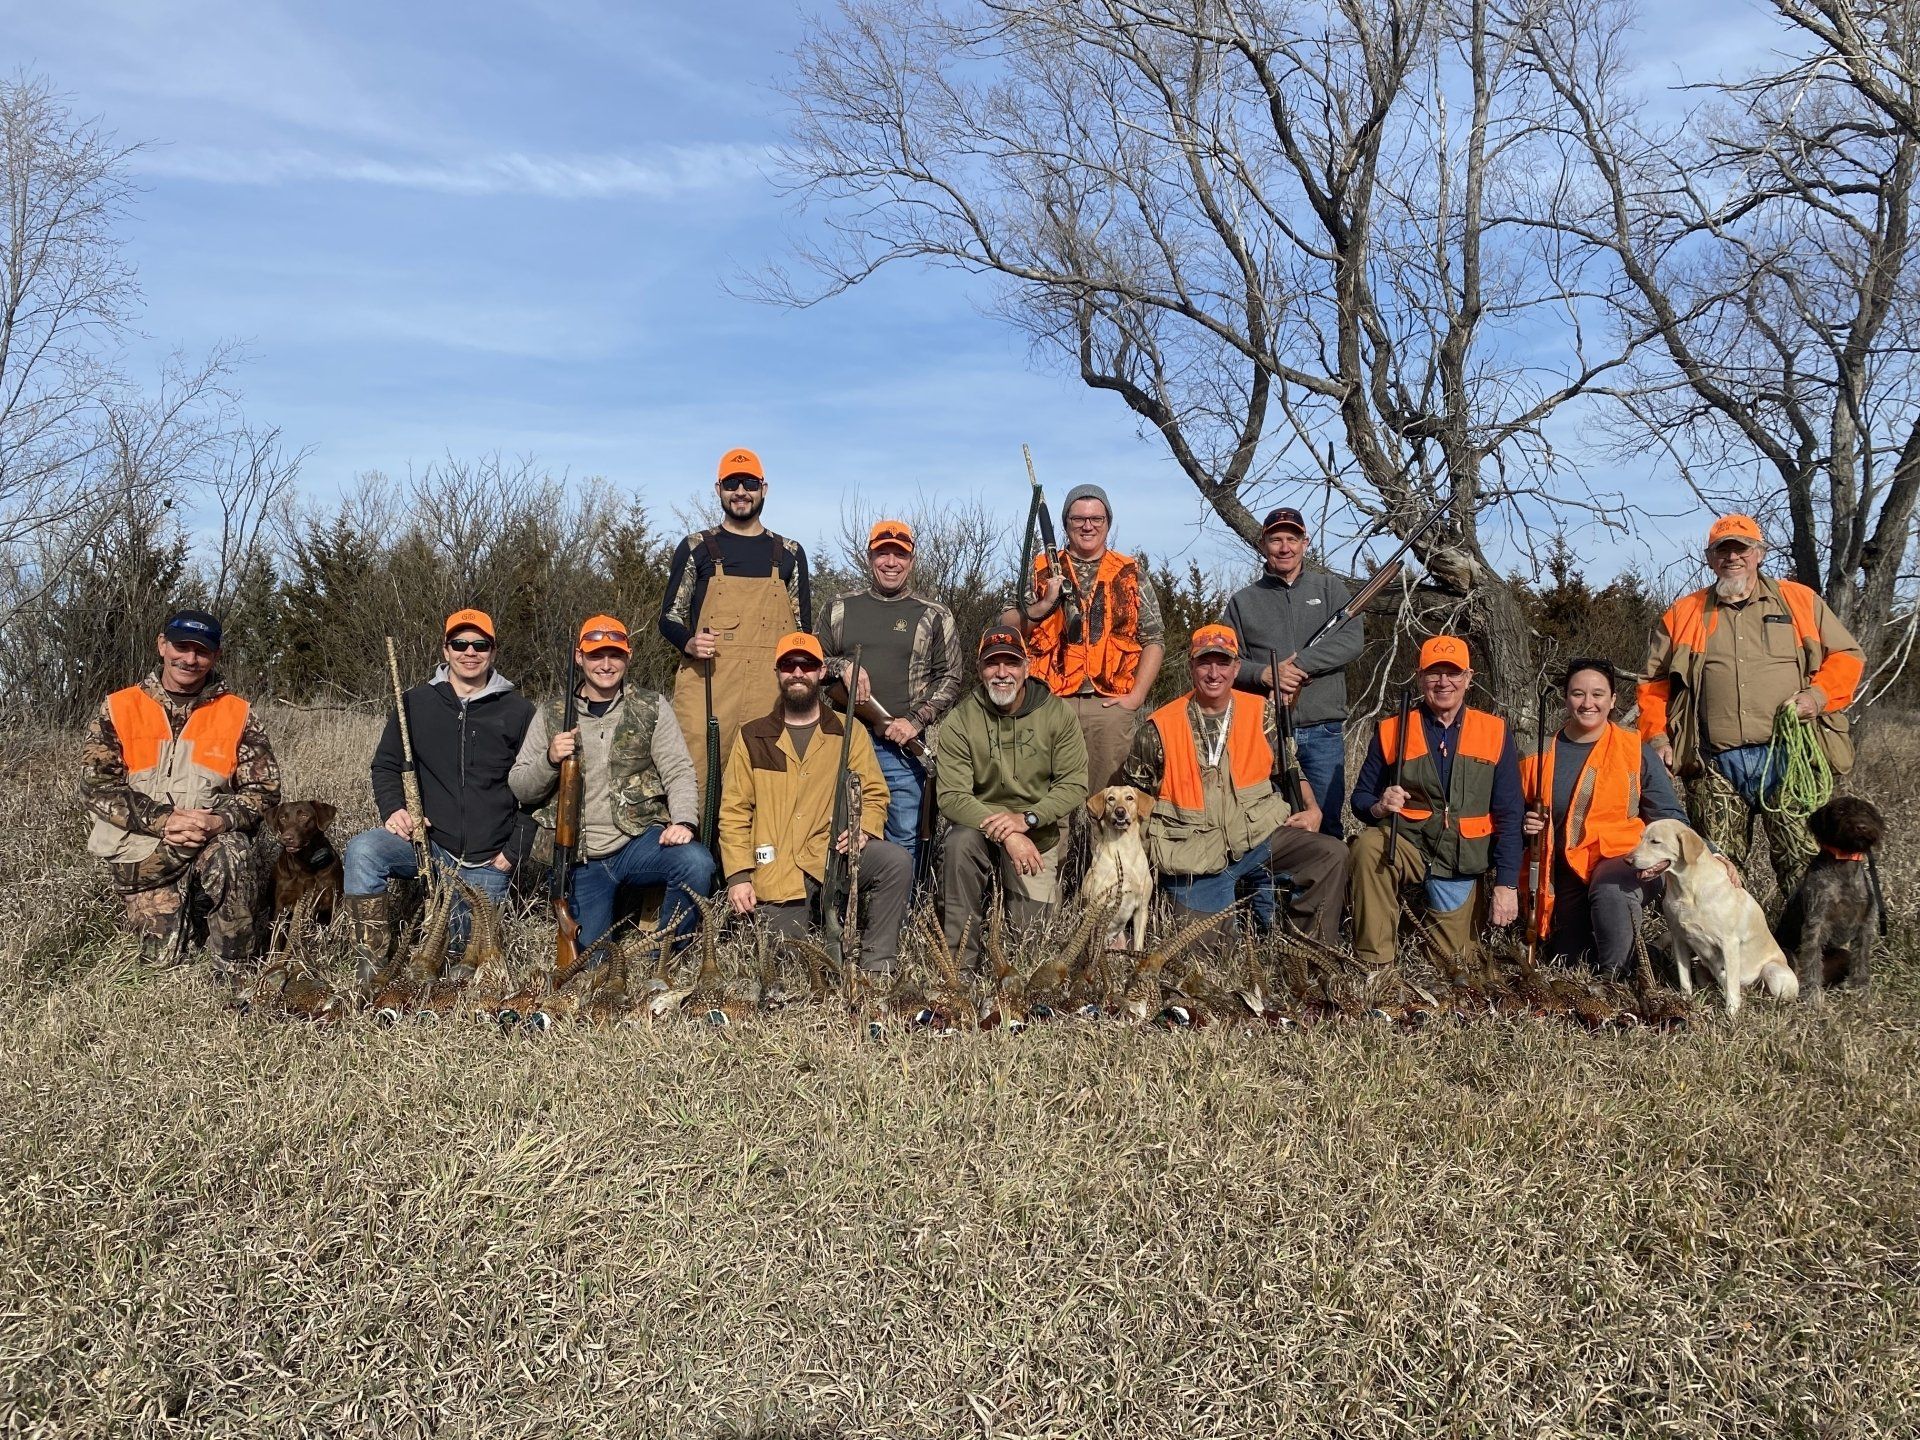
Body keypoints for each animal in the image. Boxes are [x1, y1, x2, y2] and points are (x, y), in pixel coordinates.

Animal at [1082, 783, 1152, 952]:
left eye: (1129, 798)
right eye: (1111, 799)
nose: (1120, 812)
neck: (1124, 851)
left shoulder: (1142, 908)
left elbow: (1138, 945)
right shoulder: (1097, 907)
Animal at [1620, 821, 1797, 1013]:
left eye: (1655, 842)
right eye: (1641, 838)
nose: (1627, 860)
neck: (1687, 890)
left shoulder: (1729, 944)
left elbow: (1732, 988)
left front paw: (1731, 1015)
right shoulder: (1678, 938)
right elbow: (1684, 979)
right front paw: (1685, 1003)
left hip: (1773, 971)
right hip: (1702, 969)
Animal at [1774, 794, 1881, 998]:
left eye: (1866, 811)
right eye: (1840, 810)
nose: (1861, 826)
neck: (1844, 864)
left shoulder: (1866, 922)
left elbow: (1861, 957)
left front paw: (1859, 986)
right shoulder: (1816, 922)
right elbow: (1811, 960)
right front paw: (1811, 994)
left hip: (1842, 955)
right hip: (1786, 953)